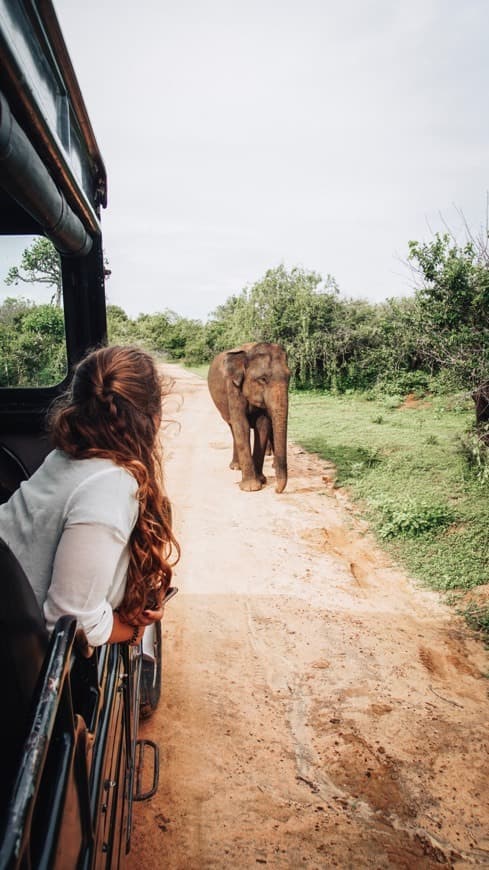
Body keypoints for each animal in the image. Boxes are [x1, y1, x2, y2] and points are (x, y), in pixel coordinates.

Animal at [207, 344, 290, 494]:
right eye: (263, 379)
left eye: (289, 377)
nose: (277, 490)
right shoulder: (232, 387)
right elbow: (241, 425)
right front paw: (251, 488)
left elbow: (262, 426)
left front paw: (261, 480)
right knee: (233, 427)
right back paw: (235, 467)